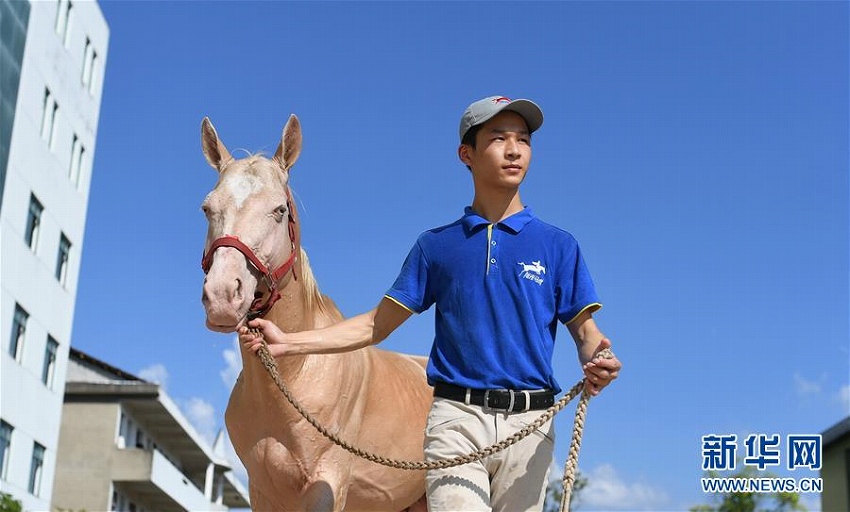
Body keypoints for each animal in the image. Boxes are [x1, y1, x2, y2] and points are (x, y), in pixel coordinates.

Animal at [199, 116, 430, 512]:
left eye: (279, 210)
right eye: (207, 208)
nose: (223, 295)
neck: (294, 374)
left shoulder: (328, 481)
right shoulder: (262, 491)